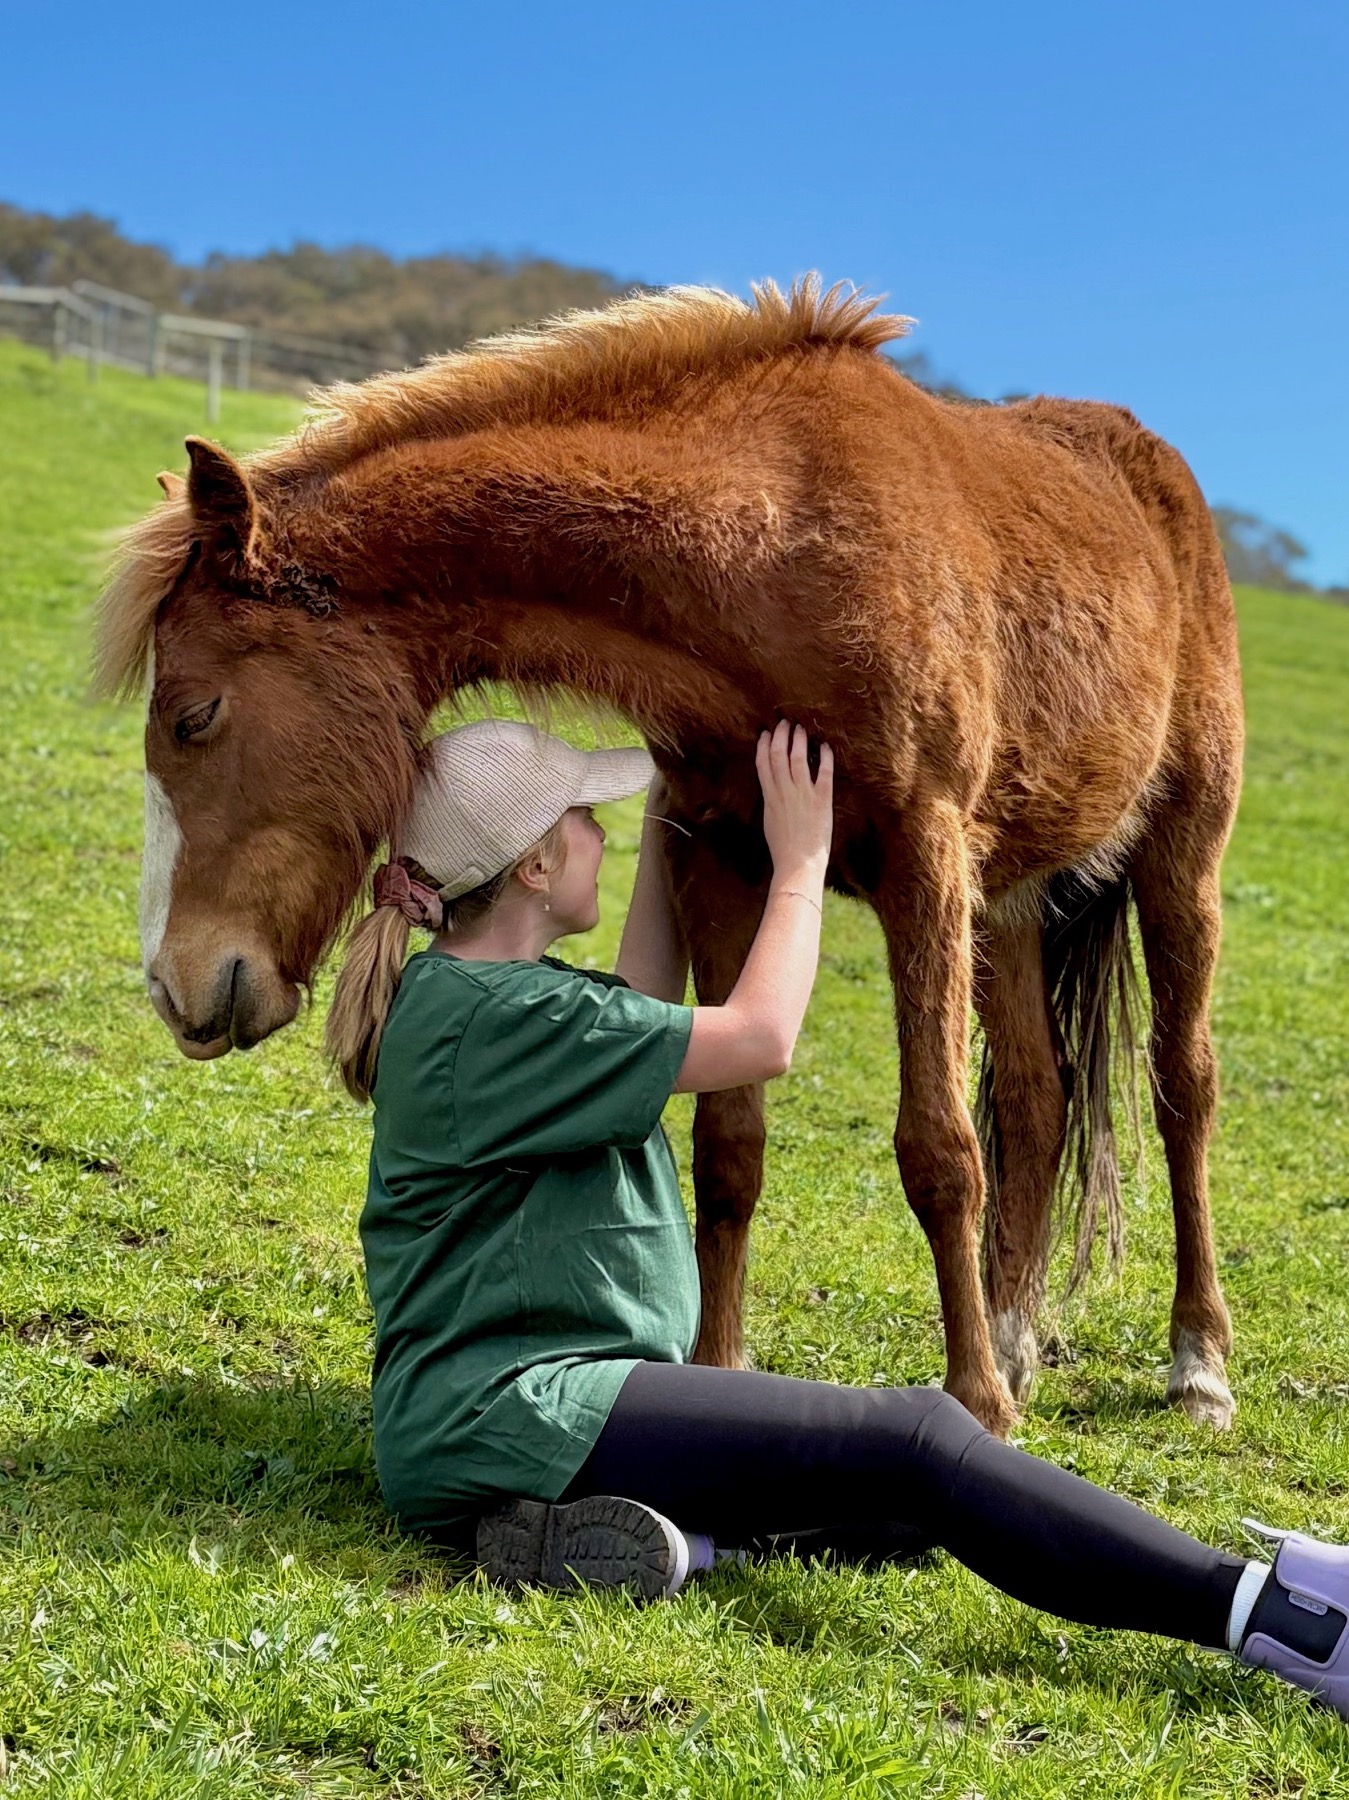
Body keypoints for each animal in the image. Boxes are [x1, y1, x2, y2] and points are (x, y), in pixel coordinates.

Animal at [96, 277, 1243, 1438]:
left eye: (195, 716)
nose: (175, 986)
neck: (772, 538)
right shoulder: (721, 858)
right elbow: (729, 1141)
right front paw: (722, 1366)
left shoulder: (922, 859)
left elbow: (938, 1150)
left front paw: (971, 1404)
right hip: (1005, 905)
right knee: (1037, 1101)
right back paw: (1013, 1343)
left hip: (1175, 862)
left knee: (1180, 1089)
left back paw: (1193, 1362)